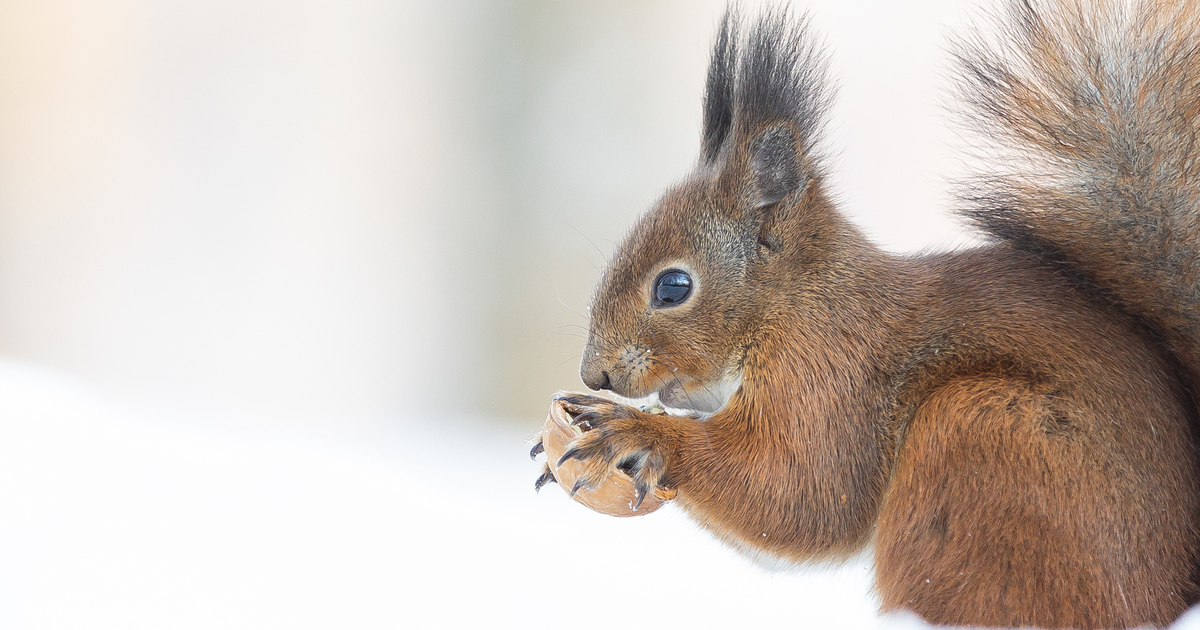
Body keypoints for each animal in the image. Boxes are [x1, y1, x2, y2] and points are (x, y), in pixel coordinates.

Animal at [535, 2, 1200, 624]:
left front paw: (631, 431)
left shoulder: (829, 374)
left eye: (673, 288)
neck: (797, 302)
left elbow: (797, 495)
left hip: (981, 436)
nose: (595, 373)